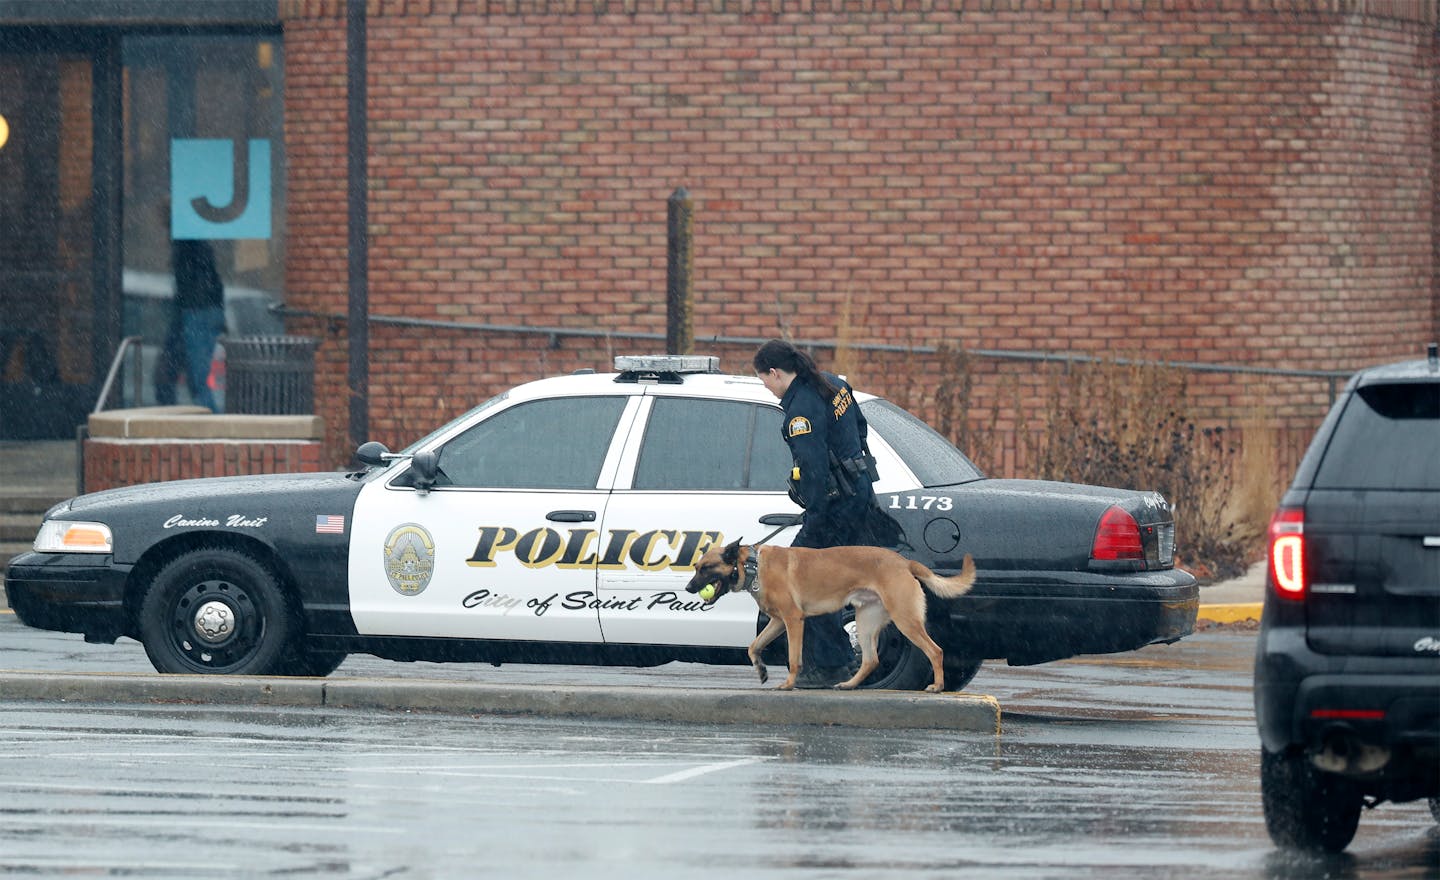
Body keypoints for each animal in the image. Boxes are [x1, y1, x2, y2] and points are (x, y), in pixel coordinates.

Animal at [685, 541, 979, 691]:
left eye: (706, 568)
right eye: (696, 567)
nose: (688, 588)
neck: (753, 564)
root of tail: (905, 563)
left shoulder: (793, 620)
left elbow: (793, 659)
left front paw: (789, 684)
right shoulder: (778, 622)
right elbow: (753, 646)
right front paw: (761, 669)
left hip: (905, 620)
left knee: (936, 651)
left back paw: (937, 686)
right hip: (866, 622)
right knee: (871, 660)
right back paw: (849, 684)